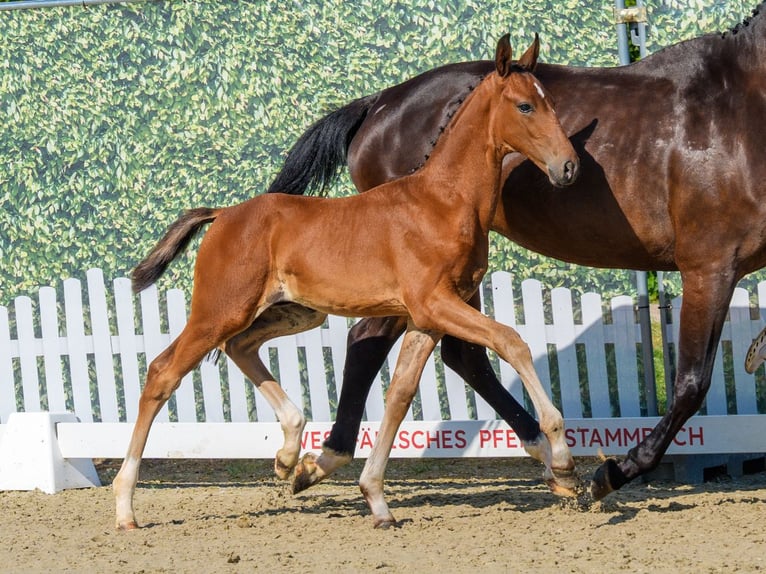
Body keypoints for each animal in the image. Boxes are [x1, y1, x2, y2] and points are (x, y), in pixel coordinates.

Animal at [112, 35, 580, 530]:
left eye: (550, 103)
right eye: (526, 106)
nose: (568, 167)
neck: (443, 201)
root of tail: (223, 215)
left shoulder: (425, 319)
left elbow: (399, 395)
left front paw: (376, 501)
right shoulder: (435, 303)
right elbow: (512, 341)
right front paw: (563, 459)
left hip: (296, 312)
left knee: (240, 346)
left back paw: (289, 455)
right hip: (220, 310)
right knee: (163, 372)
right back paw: (125, 507)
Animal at [267, 3, 766, 500]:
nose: (568, 166)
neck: (739, 106)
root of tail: (379, 104)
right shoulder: (709, 267)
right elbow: (691, 384)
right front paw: (614, 472)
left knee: (454, 354)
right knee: (379, 341)